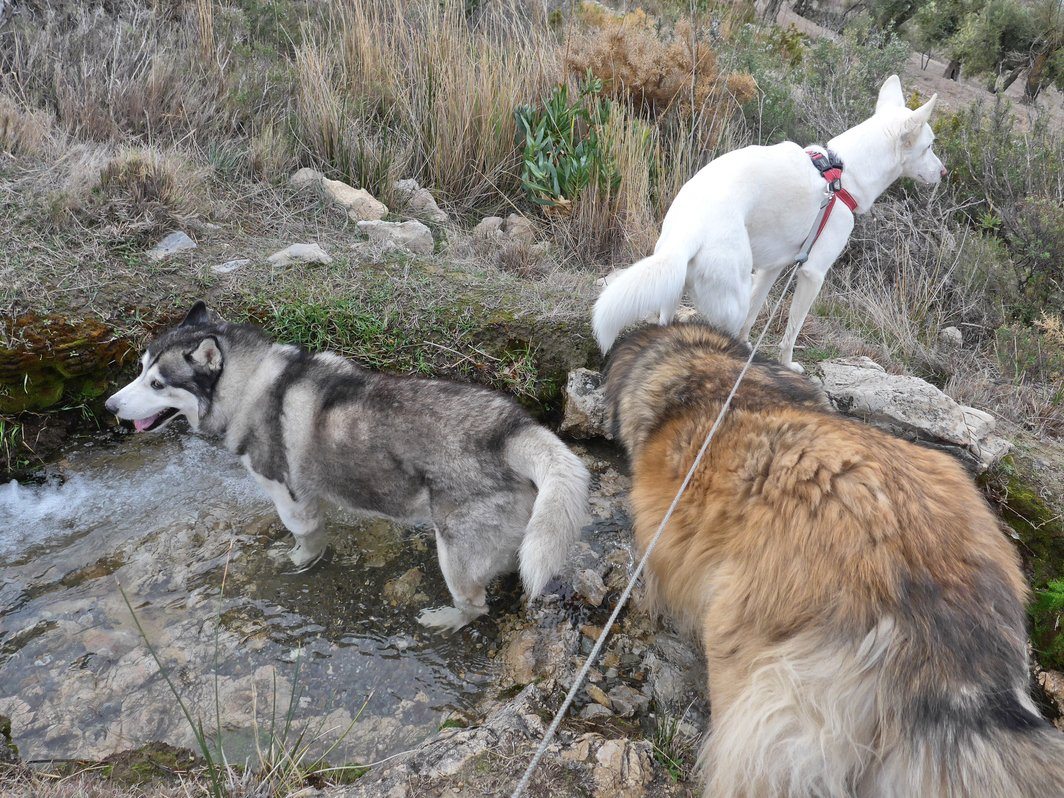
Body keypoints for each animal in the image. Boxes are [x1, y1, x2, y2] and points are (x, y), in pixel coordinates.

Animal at [591, 75, 949, 372]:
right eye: (930, 146)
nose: (944, 173)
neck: (844, 172)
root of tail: (688, 235)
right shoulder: (812, 273)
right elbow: (792, 332)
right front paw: (787, 364)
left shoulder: (772, 268)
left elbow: (755, 312)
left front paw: (750, 344)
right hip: (731, 294)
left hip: (676, 281)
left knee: (671, 323)